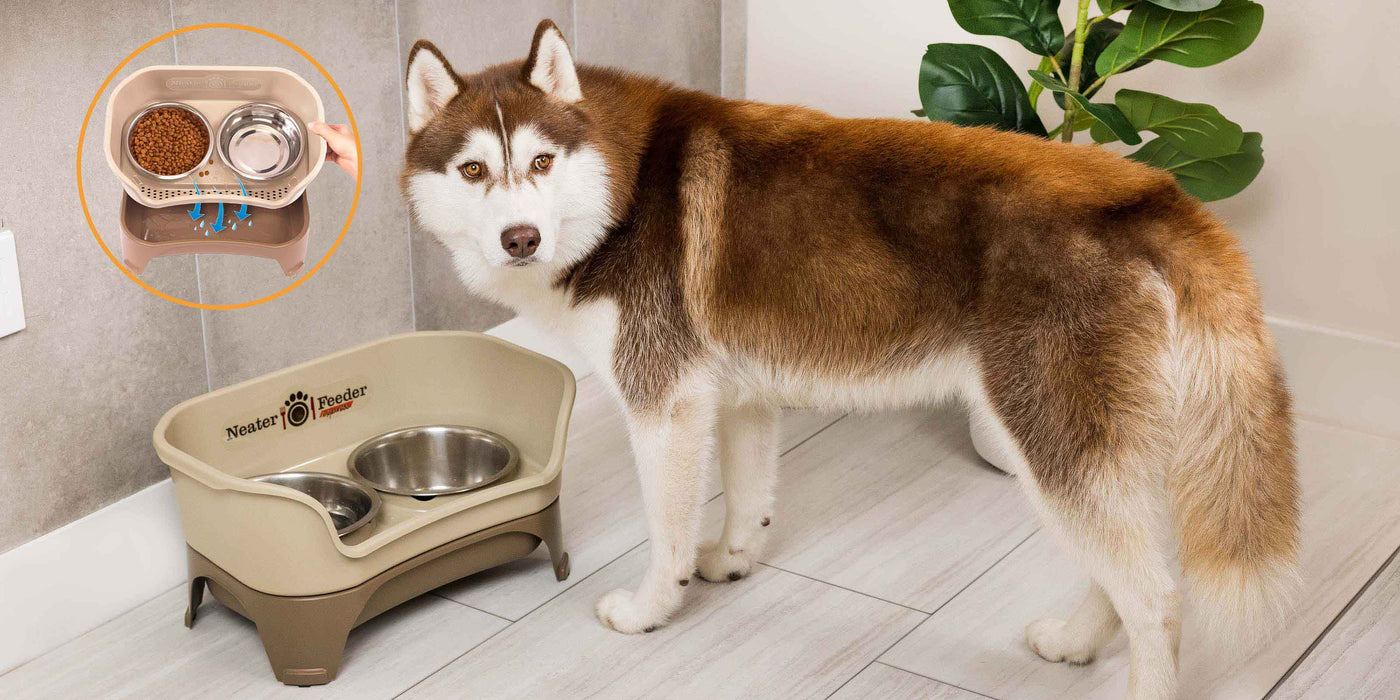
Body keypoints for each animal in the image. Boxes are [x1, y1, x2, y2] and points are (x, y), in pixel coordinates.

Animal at [400, 19, 1293, 697]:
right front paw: (730, 560)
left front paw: (655, 607)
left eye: (541, 162)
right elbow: (747, 496)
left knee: (1159, 600)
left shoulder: (664, 406)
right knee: (1126, 569)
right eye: (474, 169)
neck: (623, 184)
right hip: (1089, 445)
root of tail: (1149, 192)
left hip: (1048, 438)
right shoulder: (739, 395)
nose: (521, 238)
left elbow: (667, 532)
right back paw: (1075, 642)